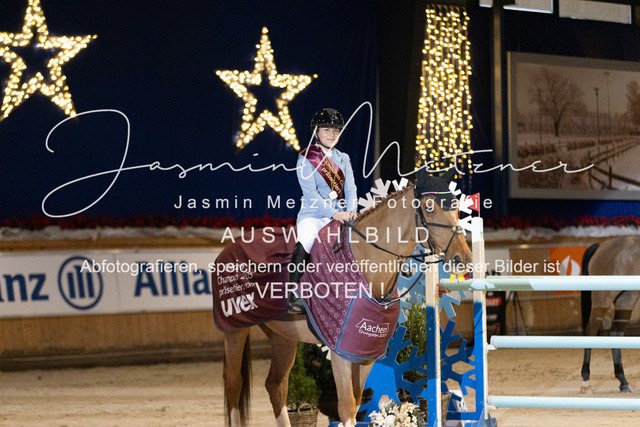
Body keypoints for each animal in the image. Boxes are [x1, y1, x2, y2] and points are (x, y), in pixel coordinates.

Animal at [218, 170, 473, 427]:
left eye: (456, 207)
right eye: (429, 207)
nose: (463, 259)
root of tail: (229, 247)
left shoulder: (364, 350)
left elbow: (357, 401)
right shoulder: (339, 351)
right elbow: (347, 406)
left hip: (283, 336)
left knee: (276, 385)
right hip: (234, 332)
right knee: (233, 385)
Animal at [580, 235, 640, 393]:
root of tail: (601, 246)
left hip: (626, 299)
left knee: (615, 333)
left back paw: (623, 381)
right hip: (603, 298)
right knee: (591, 331)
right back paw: (585, 380)